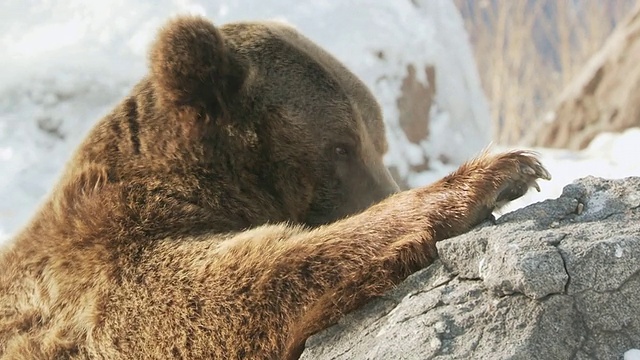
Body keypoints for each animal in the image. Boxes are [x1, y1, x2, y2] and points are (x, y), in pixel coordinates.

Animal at [0, 16, 552, 360]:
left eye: (379, 141)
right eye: (341, 146)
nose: (380, 189)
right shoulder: (102, 266)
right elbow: (235, 291)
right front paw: (497, 174)